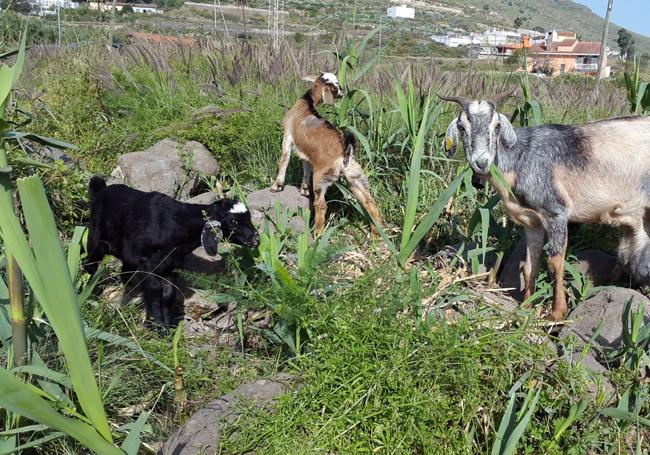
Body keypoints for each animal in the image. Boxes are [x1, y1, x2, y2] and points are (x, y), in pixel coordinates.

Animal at [85, 177, 260, 328]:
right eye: (233, 222)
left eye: (249, 218)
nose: (256, 239)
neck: (177, 225)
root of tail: (102, 189)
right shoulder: (146, 262)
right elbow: (155, 288)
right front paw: (156, 325)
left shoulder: (166, 265)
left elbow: (168, 292)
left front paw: (167, 325)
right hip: (96, 239)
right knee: (90, 264)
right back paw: (92, 291)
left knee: (125, 272)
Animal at [268, 72, 380, 235]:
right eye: (335, 86)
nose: (342, 92)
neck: (307, 103)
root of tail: (344, 152)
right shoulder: (307, 154)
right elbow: (306, 167)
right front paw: (304, 190)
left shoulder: (287, 136)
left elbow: (284, 160)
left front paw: (277, 186)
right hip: (355, 176)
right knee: (369, 201)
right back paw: (376, 233)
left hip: (322, 178)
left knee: (321, 205)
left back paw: (318, 233)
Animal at [440, 91, 648, 320]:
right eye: (462, 127)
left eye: (496, 125)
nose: (482, 162)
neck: (522, 158)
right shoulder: (532, 222)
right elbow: (530, 265)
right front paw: (526, 305)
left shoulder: (556, 212)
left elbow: (554, 263)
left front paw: (557, 314)